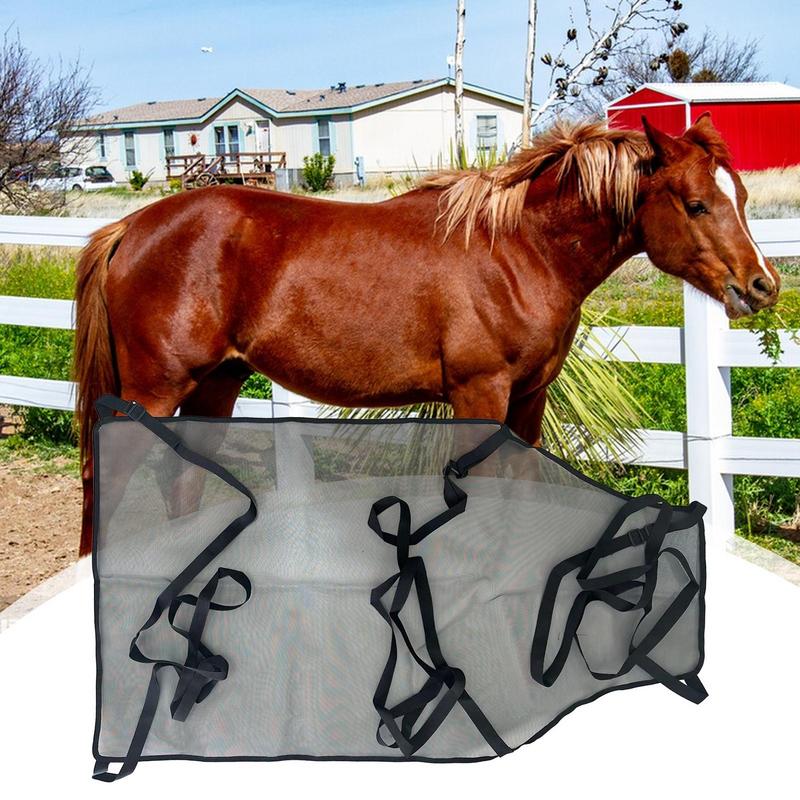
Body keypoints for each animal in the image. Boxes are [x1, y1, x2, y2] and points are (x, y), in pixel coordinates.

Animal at [73, 113, 781, 554]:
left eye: (743, 198)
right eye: (696, 203)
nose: (762, 285)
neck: (516, 250)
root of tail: (129, 229)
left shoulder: (528, 399)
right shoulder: (479, 395)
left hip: (215, 385)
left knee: (181, 481)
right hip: (152, 391)